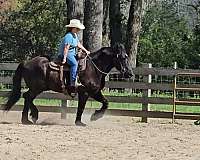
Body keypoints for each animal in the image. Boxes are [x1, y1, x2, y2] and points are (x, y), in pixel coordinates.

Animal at [3, 43, 133, 125]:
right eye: (122, 57)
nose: (130, 73)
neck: (93, 68)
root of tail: (26, 62)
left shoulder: (94, 91)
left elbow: (105, 102)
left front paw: (93, 117)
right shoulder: (86, 92)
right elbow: (82, 107)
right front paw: (82, 121)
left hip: (37, 88)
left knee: (27, 97)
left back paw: (28, 118)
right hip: (37, 88)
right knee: (27, 97)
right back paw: (31, 117)